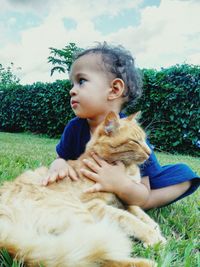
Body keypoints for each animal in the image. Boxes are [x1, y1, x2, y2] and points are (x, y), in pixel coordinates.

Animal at [0, 112, 166, 267]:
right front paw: (154, 238)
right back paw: (146, 263)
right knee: (93, 257)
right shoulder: (94, 205)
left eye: (144, 139)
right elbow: (129, 219)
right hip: (82, 216)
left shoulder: (126, 199)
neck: (126, 171)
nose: (150, 152)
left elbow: (143, 215)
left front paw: (157, 231)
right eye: (135, 141)